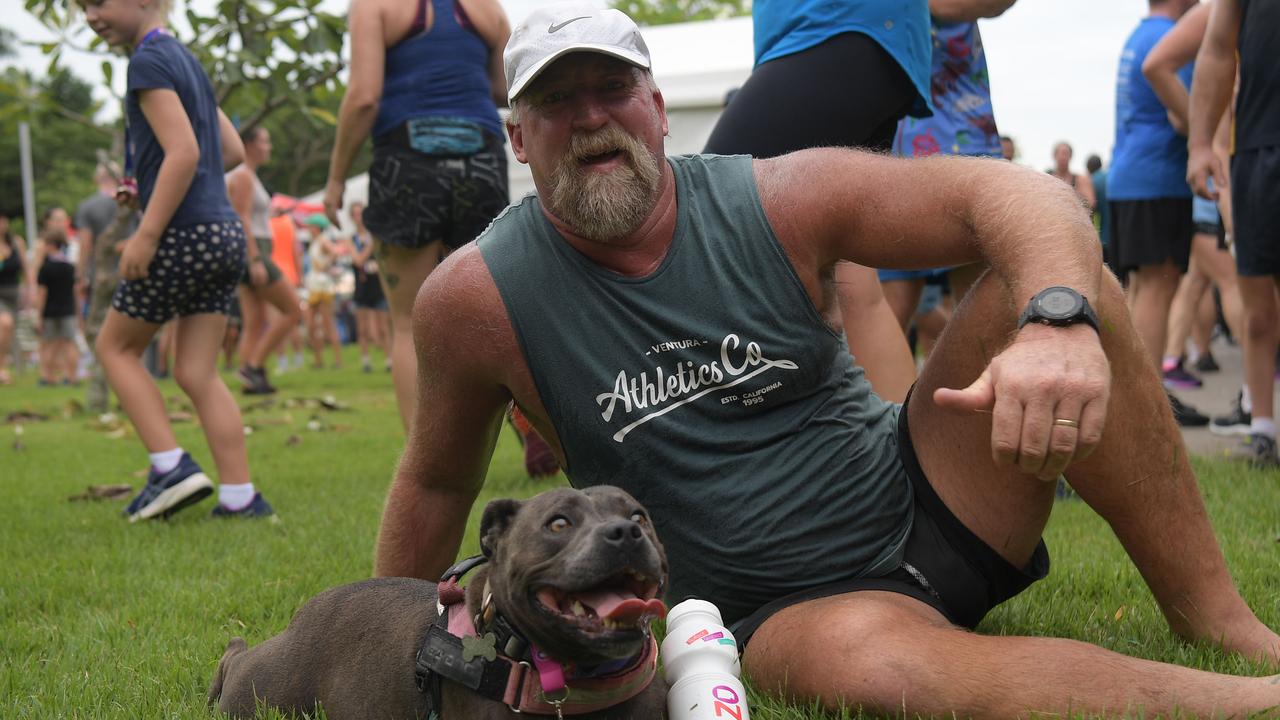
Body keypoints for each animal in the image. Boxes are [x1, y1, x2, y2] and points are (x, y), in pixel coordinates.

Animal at [207, 484, 670, 712]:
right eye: (558, 524)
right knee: (238, 661)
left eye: (639, 516)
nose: (625, 532)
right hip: (265, 691)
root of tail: (303, 613)